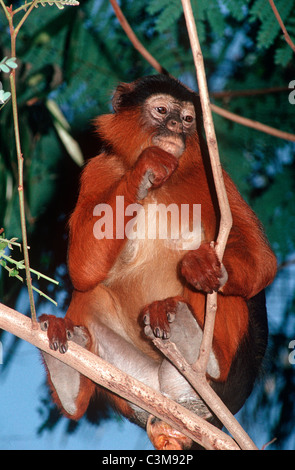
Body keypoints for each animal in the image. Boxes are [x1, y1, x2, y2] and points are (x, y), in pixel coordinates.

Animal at [39, 75, 278, 450]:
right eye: (163, 111)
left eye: (188, 119)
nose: (176, 128)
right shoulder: (99, 168)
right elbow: (82, 270)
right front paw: (147, 167)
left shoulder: (214, 178)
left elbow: (263, 263)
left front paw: (204, 264)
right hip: (142, 384)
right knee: (91, 293)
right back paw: (67, 376)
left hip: (224, 372)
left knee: (223, 292)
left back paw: (193, 337)